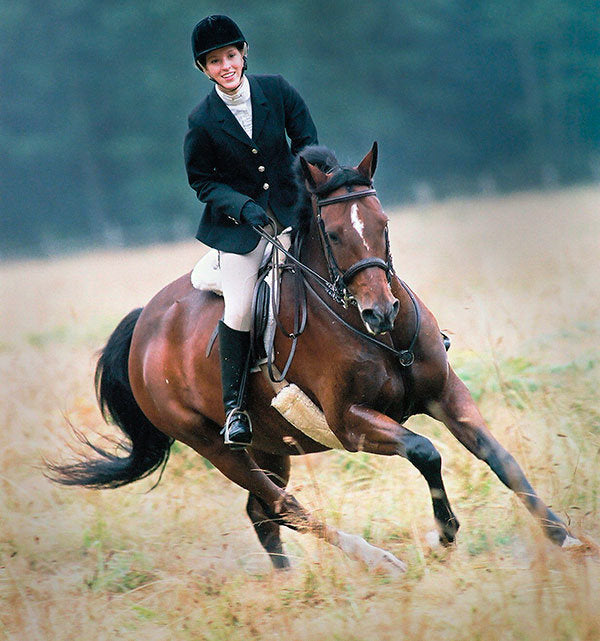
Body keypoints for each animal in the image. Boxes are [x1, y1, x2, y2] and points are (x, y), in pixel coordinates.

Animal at [48, 143, 583, 573]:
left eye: (384, 223)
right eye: (334, 232)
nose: (381, 311)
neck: (378, 336)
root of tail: (145, 323)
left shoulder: (446, 394)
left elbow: (500, 458)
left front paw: (565, 537)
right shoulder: (349, 423)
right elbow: (425, 452)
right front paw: (445, 534)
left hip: (270, 445)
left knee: (263, 513)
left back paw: (289, 581)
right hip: (217, 448)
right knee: (284, 506)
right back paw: (377, 560)